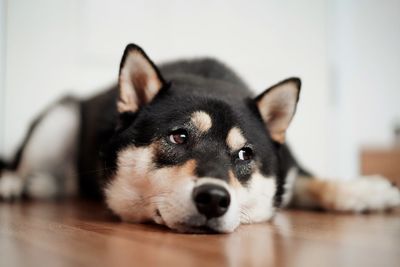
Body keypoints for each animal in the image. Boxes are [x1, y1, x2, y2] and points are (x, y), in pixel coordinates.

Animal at [0, 43, 400, 232]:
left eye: (244, 155)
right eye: (179, 137)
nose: (213, 199)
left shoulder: (287, 171)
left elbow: (315, 183)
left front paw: (366, 191)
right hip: (61, 117)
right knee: (27, 165)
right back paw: (14, 182)